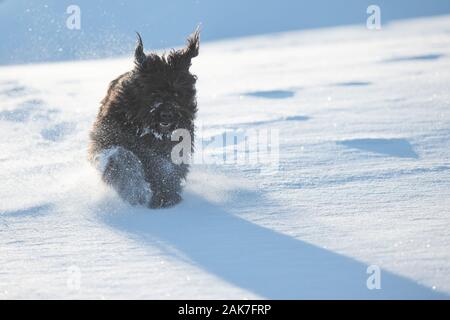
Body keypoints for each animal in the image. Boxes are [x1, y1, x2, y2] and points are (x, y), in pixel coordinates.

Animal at [88, 29, 199, 208]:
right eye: (153, 92)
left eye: (177, 93)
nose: (167, 114)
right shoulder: (109, 139)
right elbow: (123, 159)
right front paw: (133, 189)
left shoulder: (175, 147)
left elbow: (166, 170)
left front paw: (166, 196)